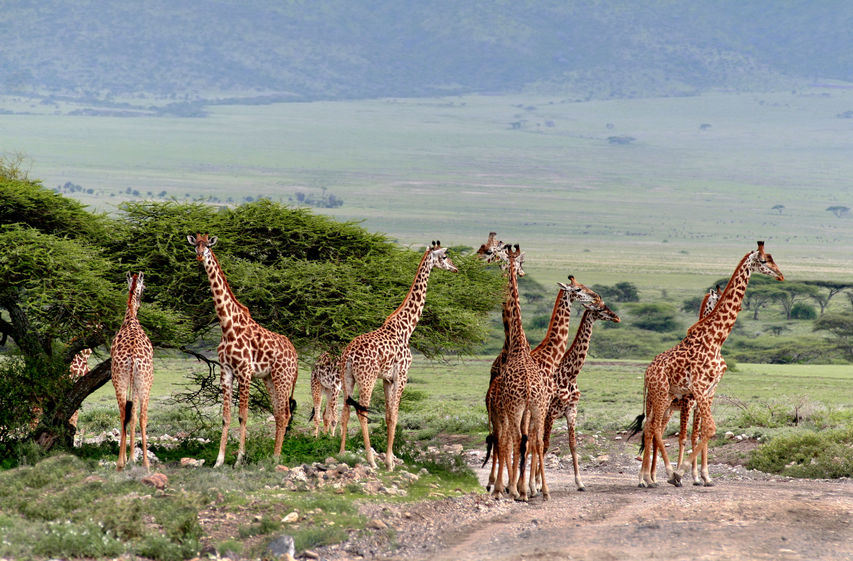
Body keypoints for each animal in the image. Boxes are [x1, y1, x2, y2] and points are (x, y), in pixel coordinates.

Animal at [187, 233, 300, 468]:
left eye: (208, 247)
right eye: (195, 246)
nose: (200, 256)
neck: (227, 326)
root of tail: (295, 355)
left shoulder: (245, 371)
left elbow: (243, 415)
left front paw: (239, 459)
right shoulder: (226, 371)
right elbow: (226, 416)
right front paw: (219, 461)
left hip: (283, 377)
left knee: (285, 413)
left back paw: (276, 457)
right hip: (269, 378)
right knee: (278, 413)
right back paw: (273, 456)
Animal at [338, 240, 460, 468]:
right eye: (445, 256)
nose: (455, 268)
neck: (406, 328)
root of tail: (348, 355)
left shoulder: (387, 379)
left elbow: (388, 415)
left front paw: (389, 459)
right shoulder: (401, 375)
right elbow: (395, 416)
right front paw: (389, 462)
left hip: (348, 377)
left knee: (345, 410)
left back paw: (341, 454)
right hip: (367, 378)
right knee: (361, 411)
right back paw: (371, 461)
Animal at [544, 298, 624, 490]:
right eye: (600, 309)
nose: (616, 317)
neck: (570, 375)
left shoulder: (571, 410)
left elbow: (573, 445)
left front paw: (580, 482)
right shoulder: (551, 413)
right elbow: (545, 445)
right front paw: (537, 484)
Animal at [636, 243, 784, 488]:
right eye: (764, 261)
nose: (780, 275)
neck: (716, 338)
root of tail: (647, 372)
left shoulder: (710, 389)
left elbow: (704, 431)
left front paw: (703, 476)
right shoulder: (696, 389)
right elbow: (704, 430)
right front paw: (682, 472)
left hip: (665, 397)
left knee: (651, 427)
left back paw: (650, 477)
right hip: (660, 394)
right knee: (653, 428)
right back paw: (660, 475)